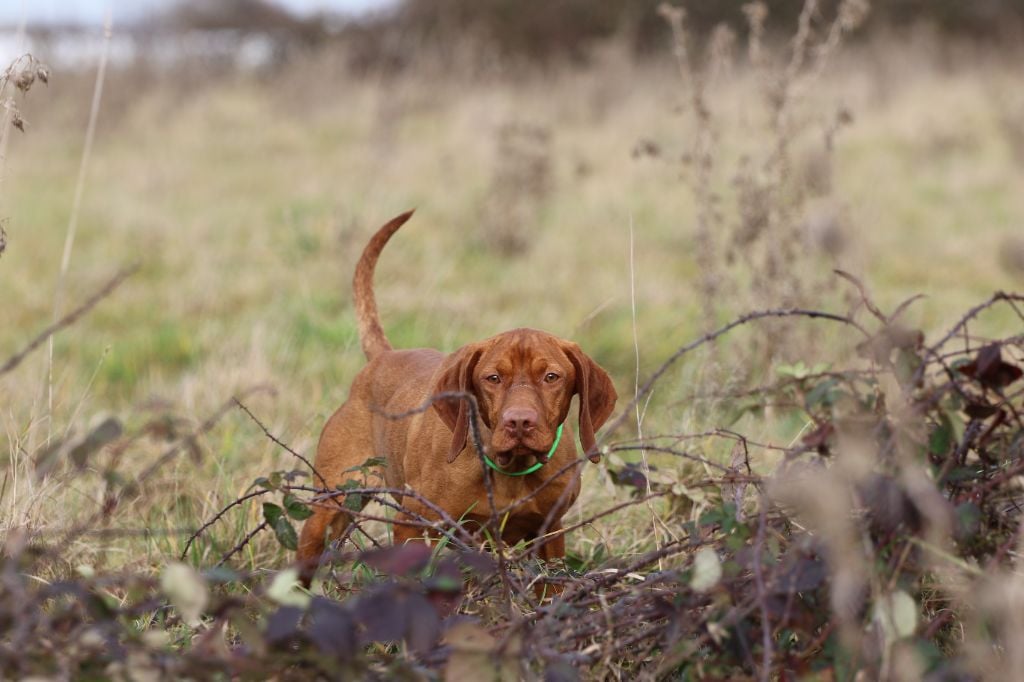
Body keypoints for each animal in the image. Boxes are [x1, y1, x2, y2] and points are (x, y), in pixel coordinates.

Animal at [296, 209, 614, 577]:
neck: (509, 470)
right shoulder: (414, 526)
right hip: (332, 503)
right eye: (493, 378)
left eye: (551, 377)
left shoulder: (550, 534)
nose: (519, 422)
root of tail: (383, 357)